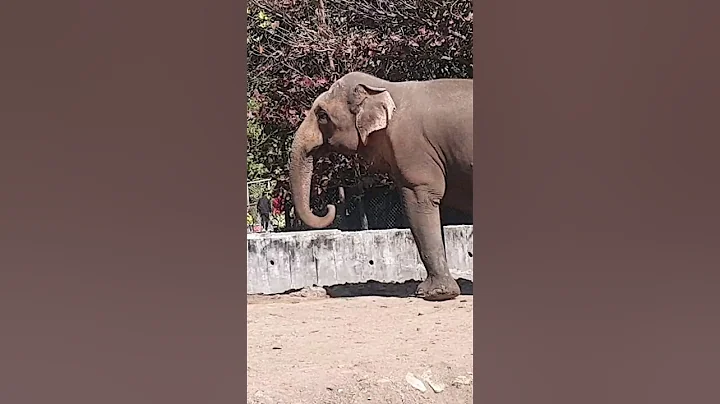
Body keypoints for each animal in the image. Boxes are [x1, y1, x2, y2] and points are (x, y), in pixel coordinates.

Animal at [289, 71, 472, 301]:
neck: (385, 87)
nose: (330, 207)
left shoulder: (413, 151)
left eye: (322, 115)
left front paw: (434, 293)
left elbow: (420, 201)